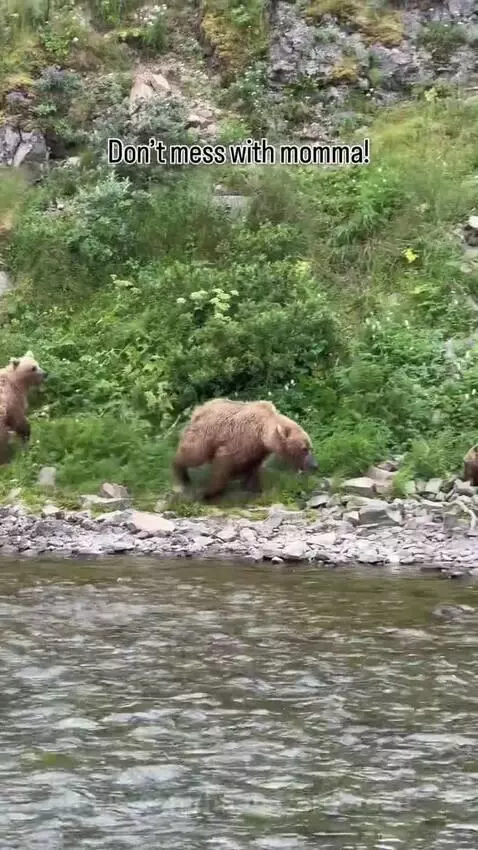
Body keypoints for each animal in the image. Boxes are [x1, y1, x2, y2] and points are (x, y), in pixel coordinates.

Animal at [172, 397, 318, 500]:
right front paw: (210, 492)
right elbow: (223, 465)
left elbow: (252, 467)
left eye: (310, 447)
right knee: (192, 454)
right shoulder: (239, 440)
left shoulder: (257, 449)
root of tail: (199, 409)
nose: (315, 465)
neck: (262, 433)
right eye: (304, 449)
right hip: (203, 435)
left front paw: (253, 487)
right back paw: (182, 475)